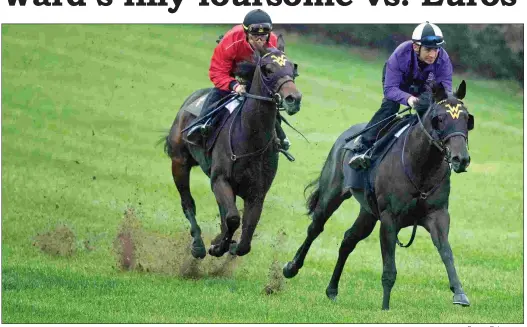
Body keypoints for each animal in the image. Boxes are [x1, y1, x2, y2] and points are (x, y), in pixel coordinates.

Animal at [163, 36, 304, 260]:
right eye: (268, 69)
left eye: (293, 68)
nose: (294, 99)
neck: (249, 138)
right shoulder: (220, 180)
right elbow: (232, 219)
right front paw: (217, 246)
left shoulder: (257, 193)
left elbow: (245, 238)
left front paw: (226, 244)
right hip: (179, 162)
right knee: (188, 203)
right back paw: (198, 245)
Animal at [284, 81, 474, 310]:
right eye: (440, 119)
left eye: (466, 118)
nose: (460, 159)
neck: (421, 167)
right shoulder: (389, 219)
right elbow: (389, 268)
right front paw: (385, 307)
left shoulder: (438, 215)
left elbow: (446, 252)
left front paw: (459, 293)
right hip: (333, 195)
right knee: (315, 228)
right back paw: (291, 267)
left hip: (368, 213)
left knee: (348, 240)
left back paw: (332, 290)